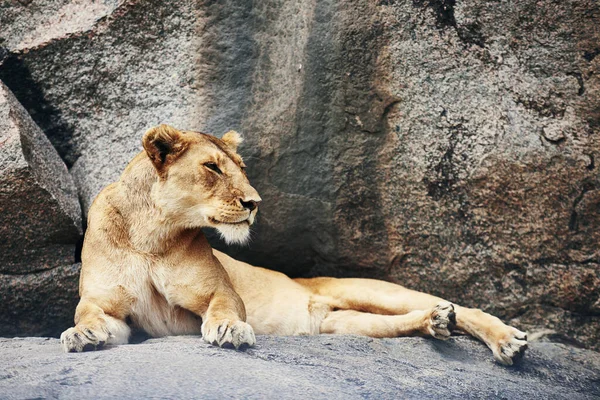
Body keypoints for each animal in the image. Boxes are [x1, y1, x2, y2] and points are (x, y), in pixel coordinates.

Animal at [62, 125, 524, 366]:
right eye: (212, 167)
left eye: (241, 167)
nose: (254, 203)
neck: (151, 234)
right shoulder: (116, 313)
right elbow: (90, 314)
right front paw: (81, 334)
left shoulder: (219, 290)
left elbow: (224, 306)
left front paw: (229, 330)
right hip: (342, 324)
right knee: (401, 322)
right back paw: (435, 322)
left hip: (368, 289)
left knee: (463, 308)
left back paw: (506, 341)